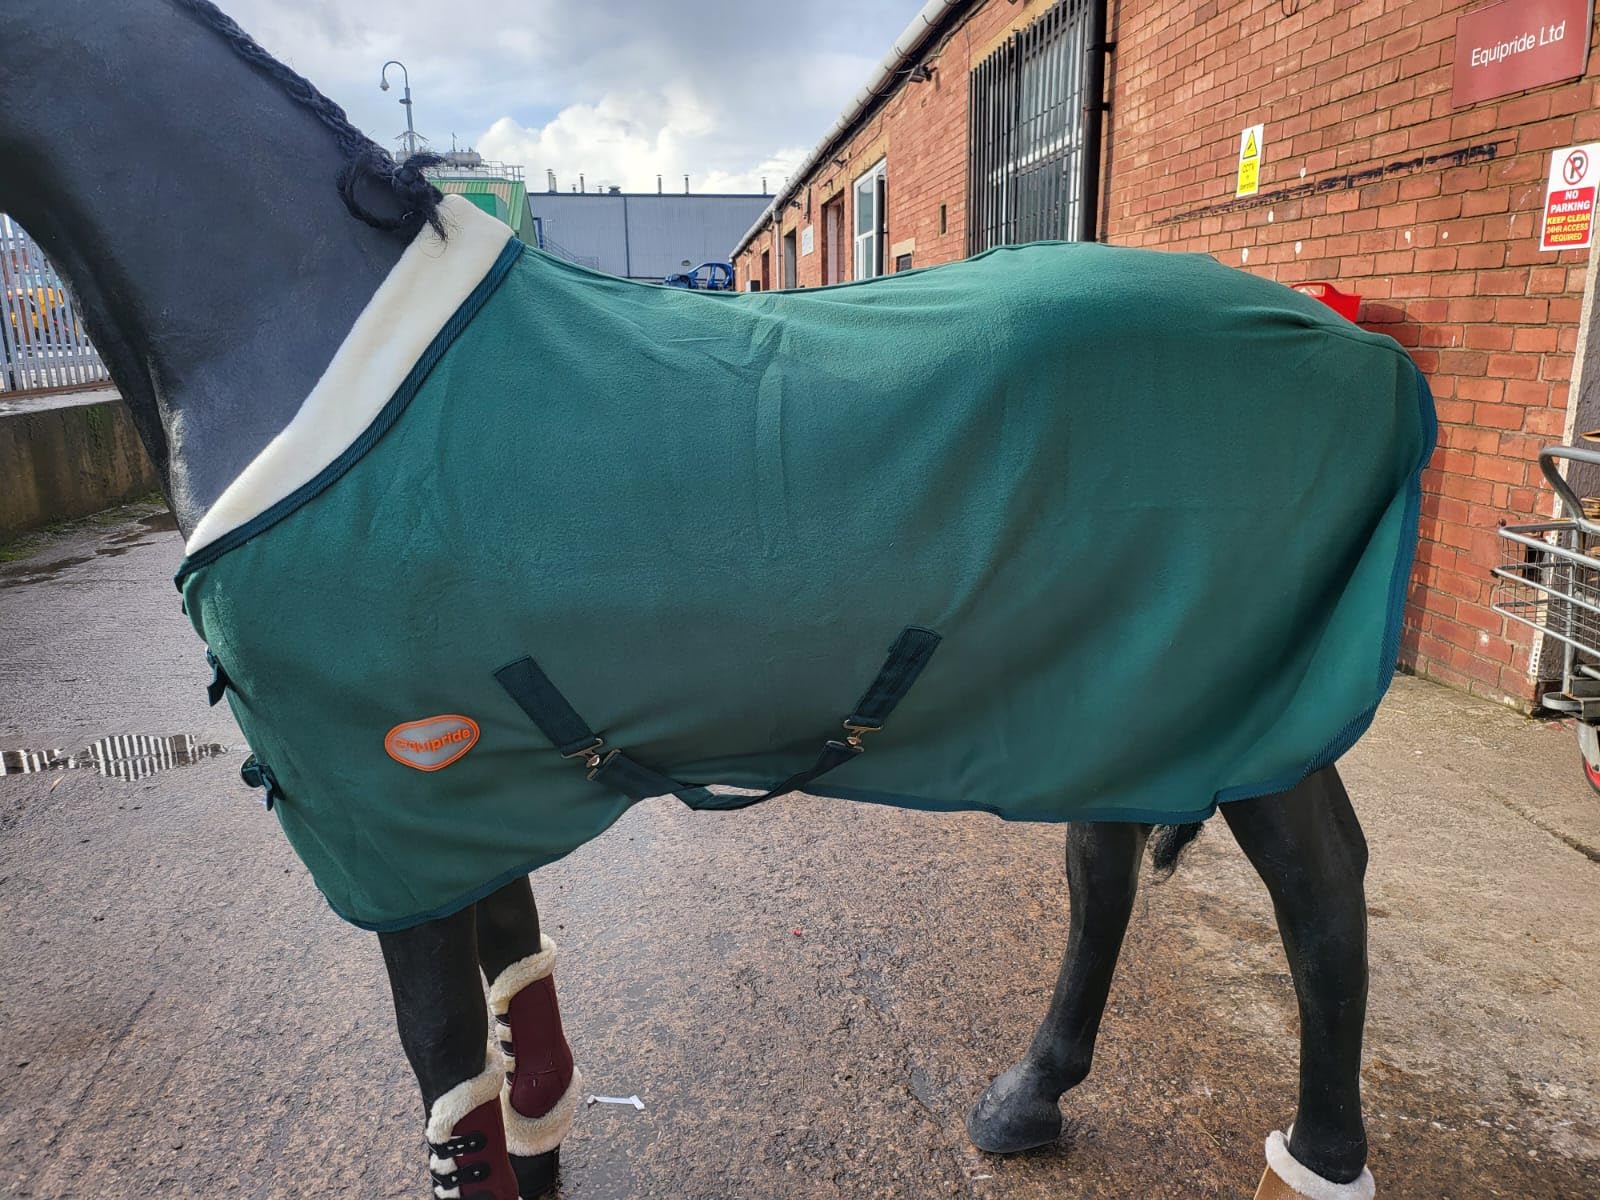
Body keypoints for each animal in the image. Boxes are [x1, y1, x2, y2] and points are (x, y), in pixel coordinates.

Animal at [1, 4, 1429, 1198]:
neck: (294, 328)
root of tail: (1353, 345)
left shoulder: (389, 810)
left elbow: (446, 1069)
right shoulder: (471, 797)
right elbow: (519, 1012)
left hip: (1239, 699)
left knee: (1319, 887)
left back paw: (1316, 1158)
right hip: (1131, 687)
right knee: (1103, 862)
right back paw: (1030, 1096)